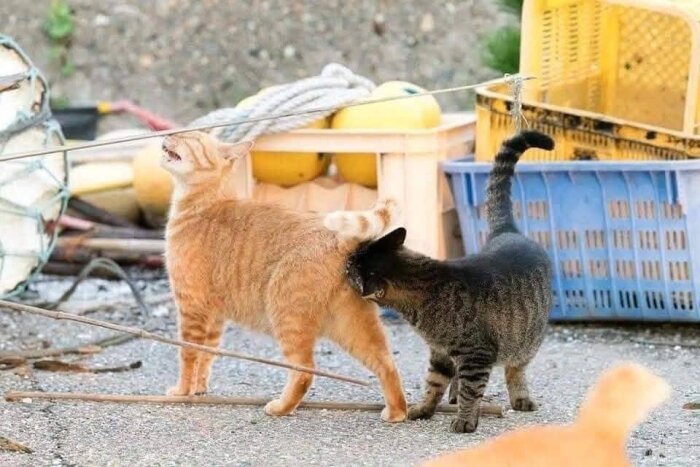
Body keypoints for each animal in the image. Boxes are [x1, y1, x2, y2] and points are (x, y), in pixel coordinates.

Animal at [161, 130, 408, 422]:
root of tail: (338, 237)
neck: (203, 203)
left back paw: (281, 407)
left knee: (304, 371)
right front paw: (198, 388)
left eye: (191, 137)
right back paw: (397, 411)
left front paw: (182, 391)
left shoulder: (192, 307)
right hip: (352, 323)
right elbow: (207, 355)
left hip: (287, 315)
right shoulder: (214, 316)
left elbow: (188, 354)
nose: (169, 134)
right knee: (386, 362)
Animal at [344, 130, 552, 434]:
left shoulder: (477, 355)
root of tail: (508, 232)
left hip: (526, 340)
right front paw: (424, 409)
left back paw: (520, 397)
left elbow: (470, 390)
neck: (426, 286)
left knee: (516, 368)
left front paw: (465, 420)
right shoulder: (440, 354)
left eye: (351, 266)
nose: (345, 261)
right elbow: (434, 384)